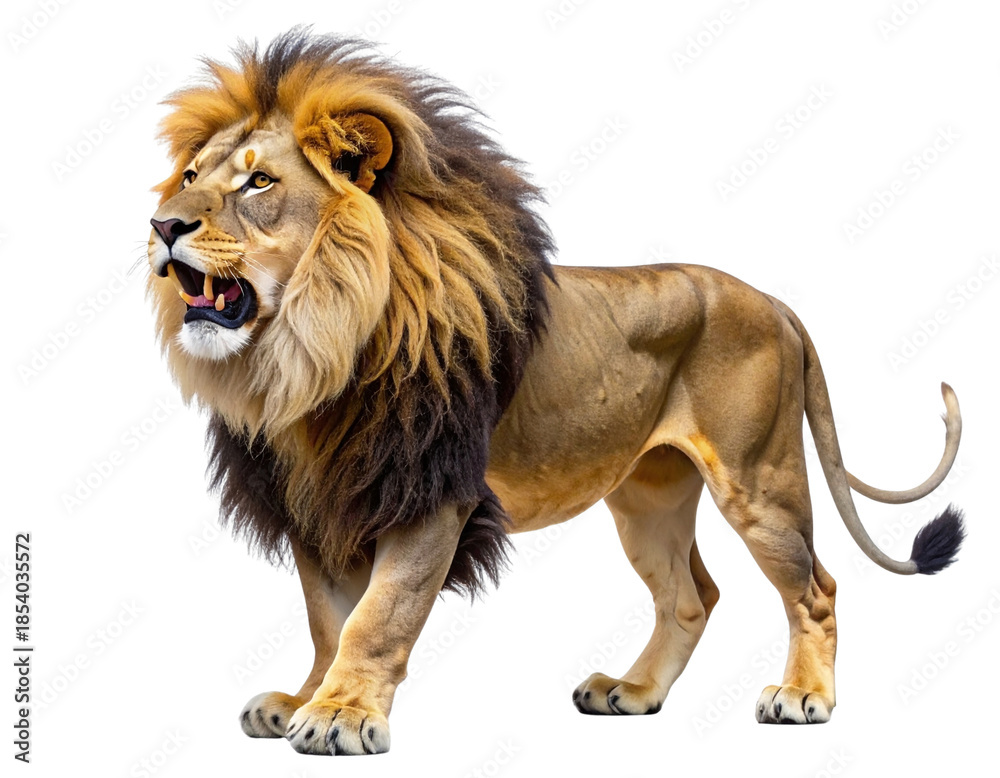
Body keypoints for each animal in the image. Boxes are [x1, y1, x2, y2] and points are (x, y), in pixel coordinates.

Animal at [146, 30, 965, 756]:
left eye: (259, 181)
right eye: (191, 177)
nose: (162, 225)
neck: (311, 354)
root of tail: (774, 301)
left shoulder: (432, 494)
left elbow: (380, 614)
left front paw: (342, 715)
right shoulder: (318, 502)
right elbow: (328, 618)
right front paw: (306, 698)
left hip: (760, 480)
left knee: (816, 588)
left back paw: (803, 696)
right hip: (647, 497)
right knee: (690, 596)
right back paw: (633, 693)